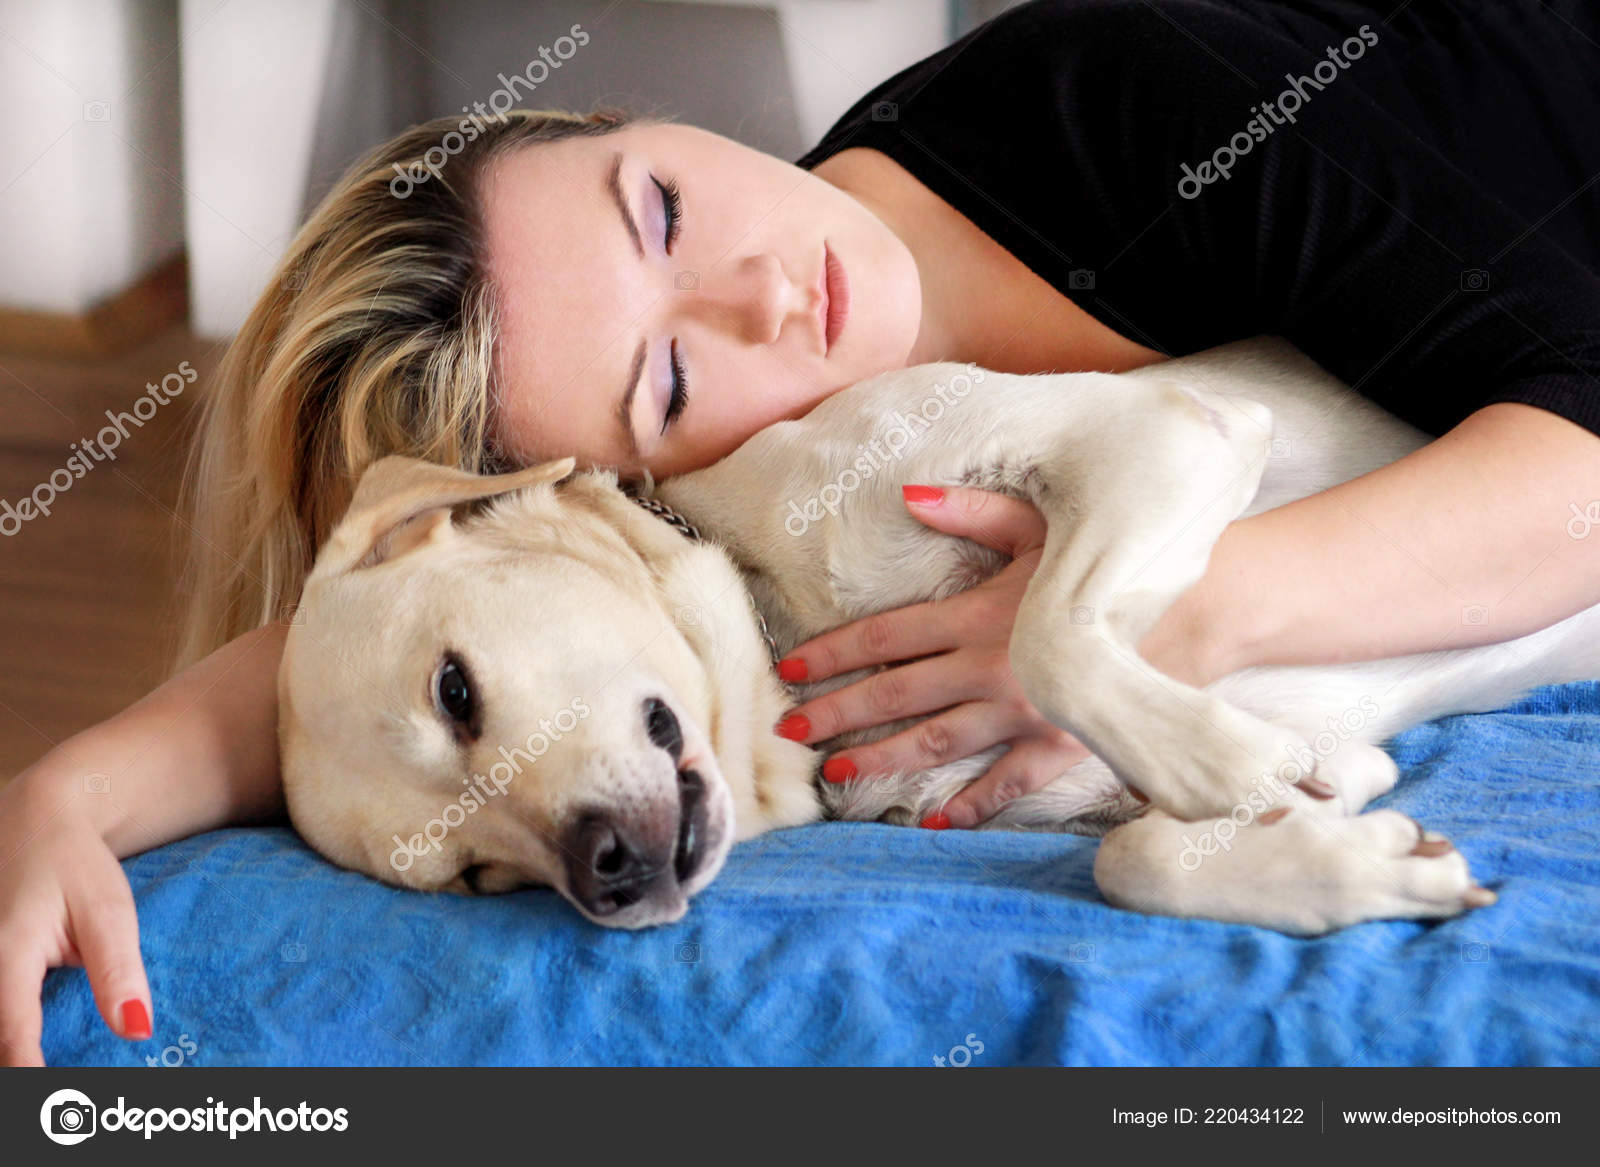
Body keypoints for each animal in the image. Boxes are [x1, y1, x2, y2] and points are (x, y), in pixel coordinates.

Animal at [281, 334, 1600, 928]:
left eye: (455, 690)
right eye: (474, 875)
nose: (607, 876)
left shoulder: (1159, 430)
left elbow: (1046, 640)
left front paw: (1223, 763)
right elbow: (1133, 857)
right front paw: (1358, 862)